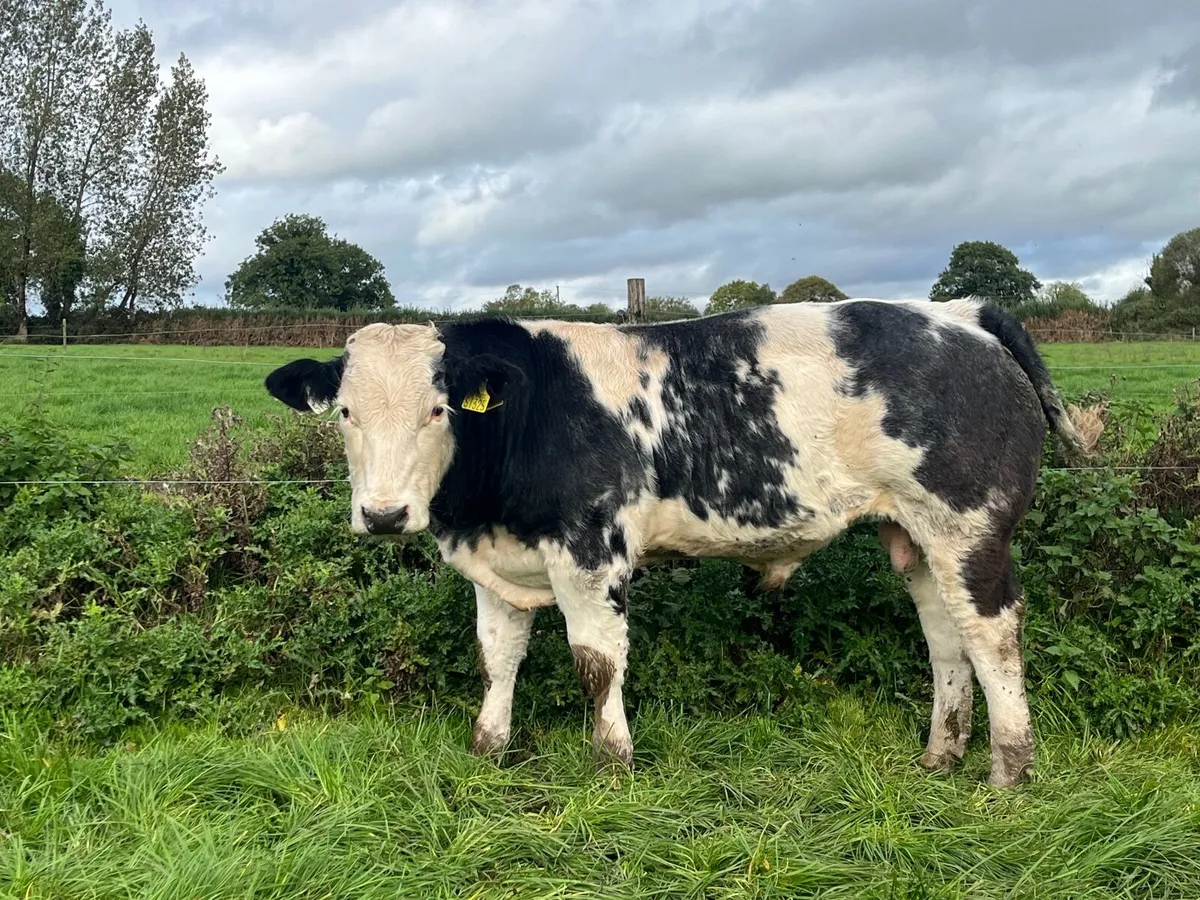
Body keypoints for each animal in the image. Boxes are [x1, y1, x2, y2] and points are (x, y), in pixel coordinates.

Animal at [263, 298, 1088, 787]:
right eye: (344, 412)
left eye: (438, 410)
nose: (384, 514)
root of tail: (957, 312)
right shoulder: (496, 567)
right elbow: (497, 658)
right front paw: (488, 749)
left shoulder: (591, 553)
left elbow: (596, 664)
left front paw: (614, 762)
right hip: (915, 536)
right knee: (947, 639)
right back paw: (941, 754)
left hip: (971, 529)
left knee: (994, 635)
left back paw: (1009, 772)